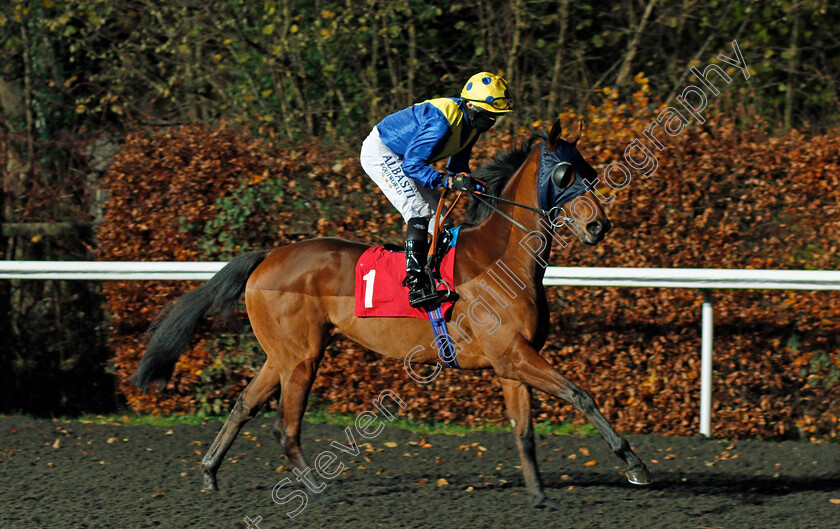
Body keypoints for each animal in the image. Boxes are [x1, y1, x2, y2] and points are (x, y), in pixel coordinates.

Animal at [131, 118, 652, 508]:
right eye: (564, 174)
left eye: (589, 171)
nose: (598, 226)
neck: (502, 259)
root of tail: (267, 256)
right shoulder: (514, 356)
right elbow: (581, 395)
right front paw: (635, 466)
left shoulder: (511, 362)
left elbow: (524, 430)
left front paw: (539, 494)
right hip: (302, 357)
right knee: (284, 426)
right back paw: (316, 489)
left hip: (281, 354)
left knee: (244, 404)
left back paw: (209, 472)